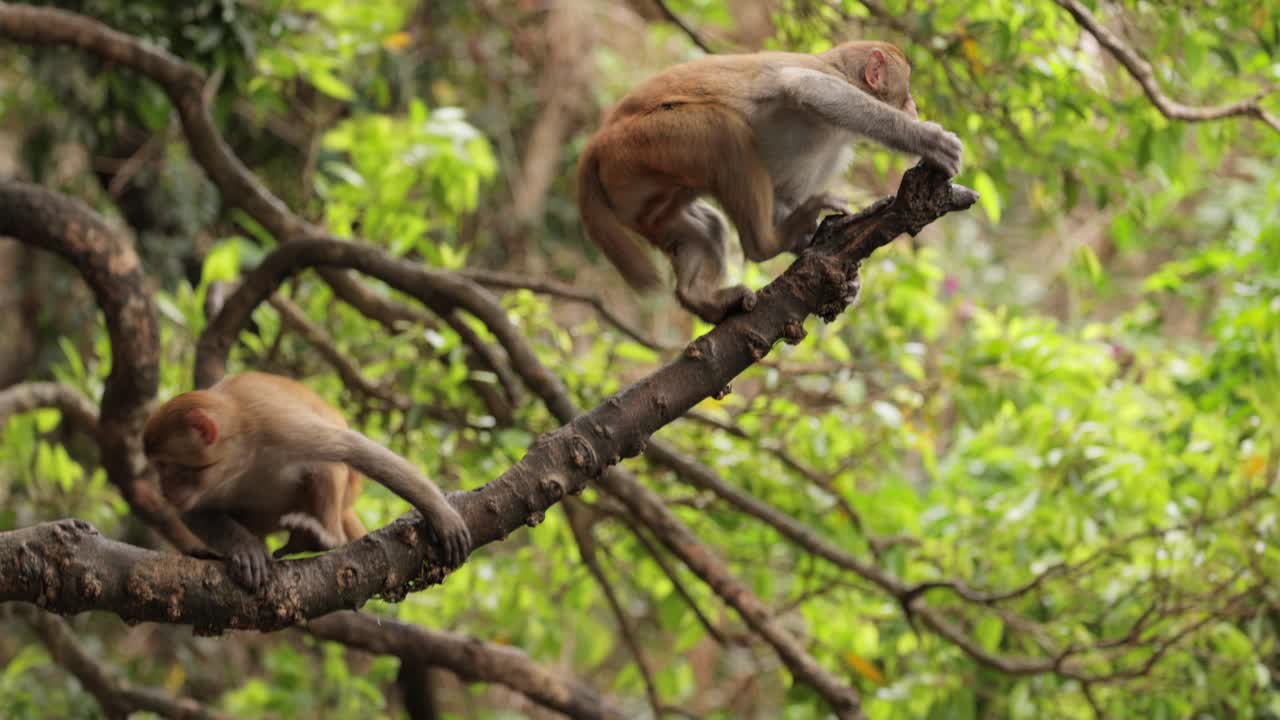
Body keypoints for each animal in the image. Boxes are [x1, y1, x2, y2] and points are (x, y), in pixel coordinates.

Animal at [143, 371, 471, 590]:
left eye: (167, 466)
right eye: (158, 468)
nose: (165, 490)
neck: (240, 453)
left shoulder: (277, 424)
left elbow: (354, 449)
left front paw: (440, 513)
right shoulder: (210, 485)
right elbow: (195, 513)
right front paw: (244, 548)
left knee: (325, 466)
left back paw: (322, 538)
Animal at [577, 40, 964, 324]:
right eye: (907, 90)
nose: (913, 107)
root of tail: (599, 139)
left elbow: (781, 196)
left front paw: (838, 271)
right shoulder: (825, 79)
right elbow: (806, 87)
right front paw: (924, 138)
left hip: (637, 191)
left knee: (703, 224)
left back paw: (701, 299)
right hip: (644, 144)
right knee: (723, 133)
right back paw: (764, 244)